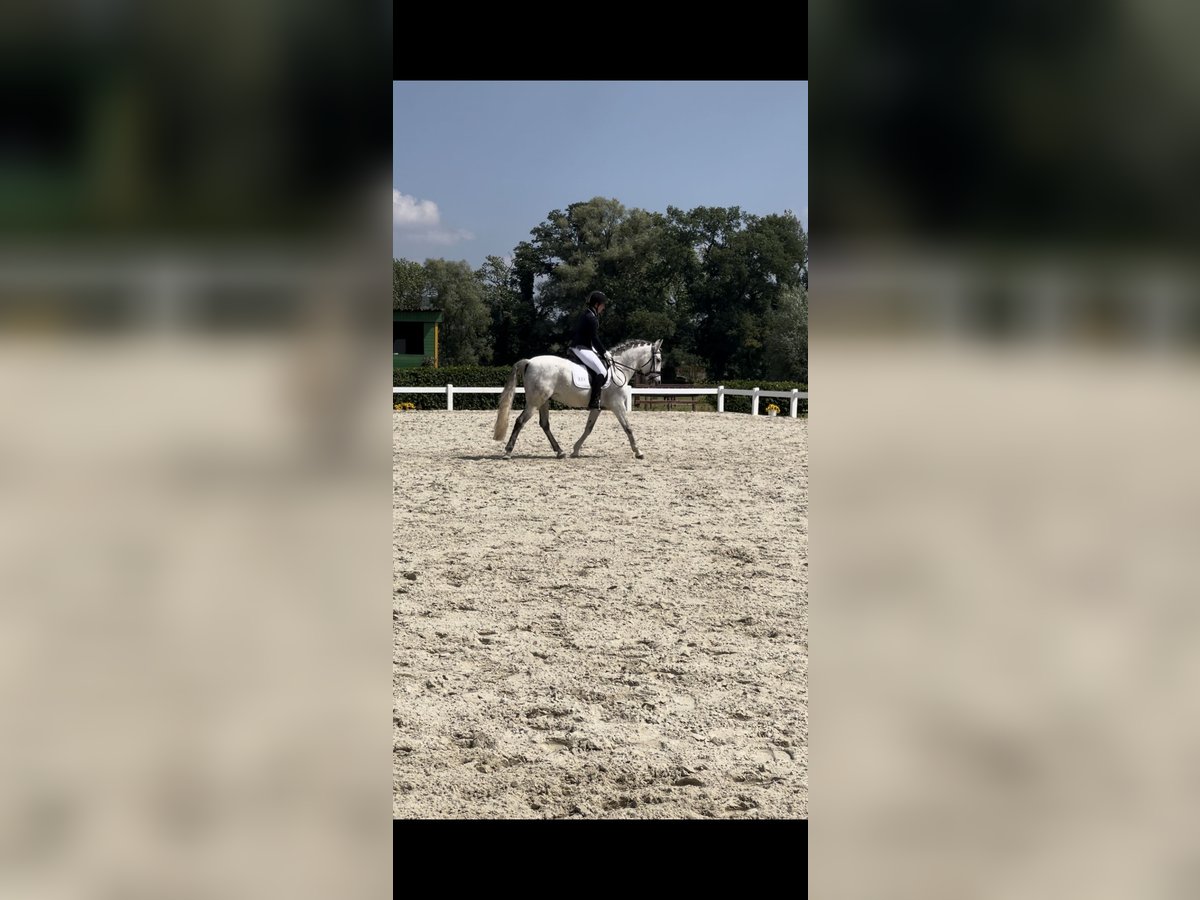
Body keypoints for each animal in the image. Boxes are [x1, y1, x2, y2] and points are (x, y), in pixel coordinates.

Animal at [492, 339, 663, 459]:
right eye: (659, 360)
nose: (657, 381)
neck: (619, 370)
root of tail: (529, 362)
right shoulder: (617, 405)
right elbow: (628, 427)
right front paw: (638, 451)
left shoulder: (597, 408)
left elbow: (588, 428)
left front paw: (575, 450)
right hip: (535, 402)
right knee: (520, 421)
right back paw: (508, 452)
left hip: (543, 401)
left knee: (545, 424)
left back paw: (560, 452)